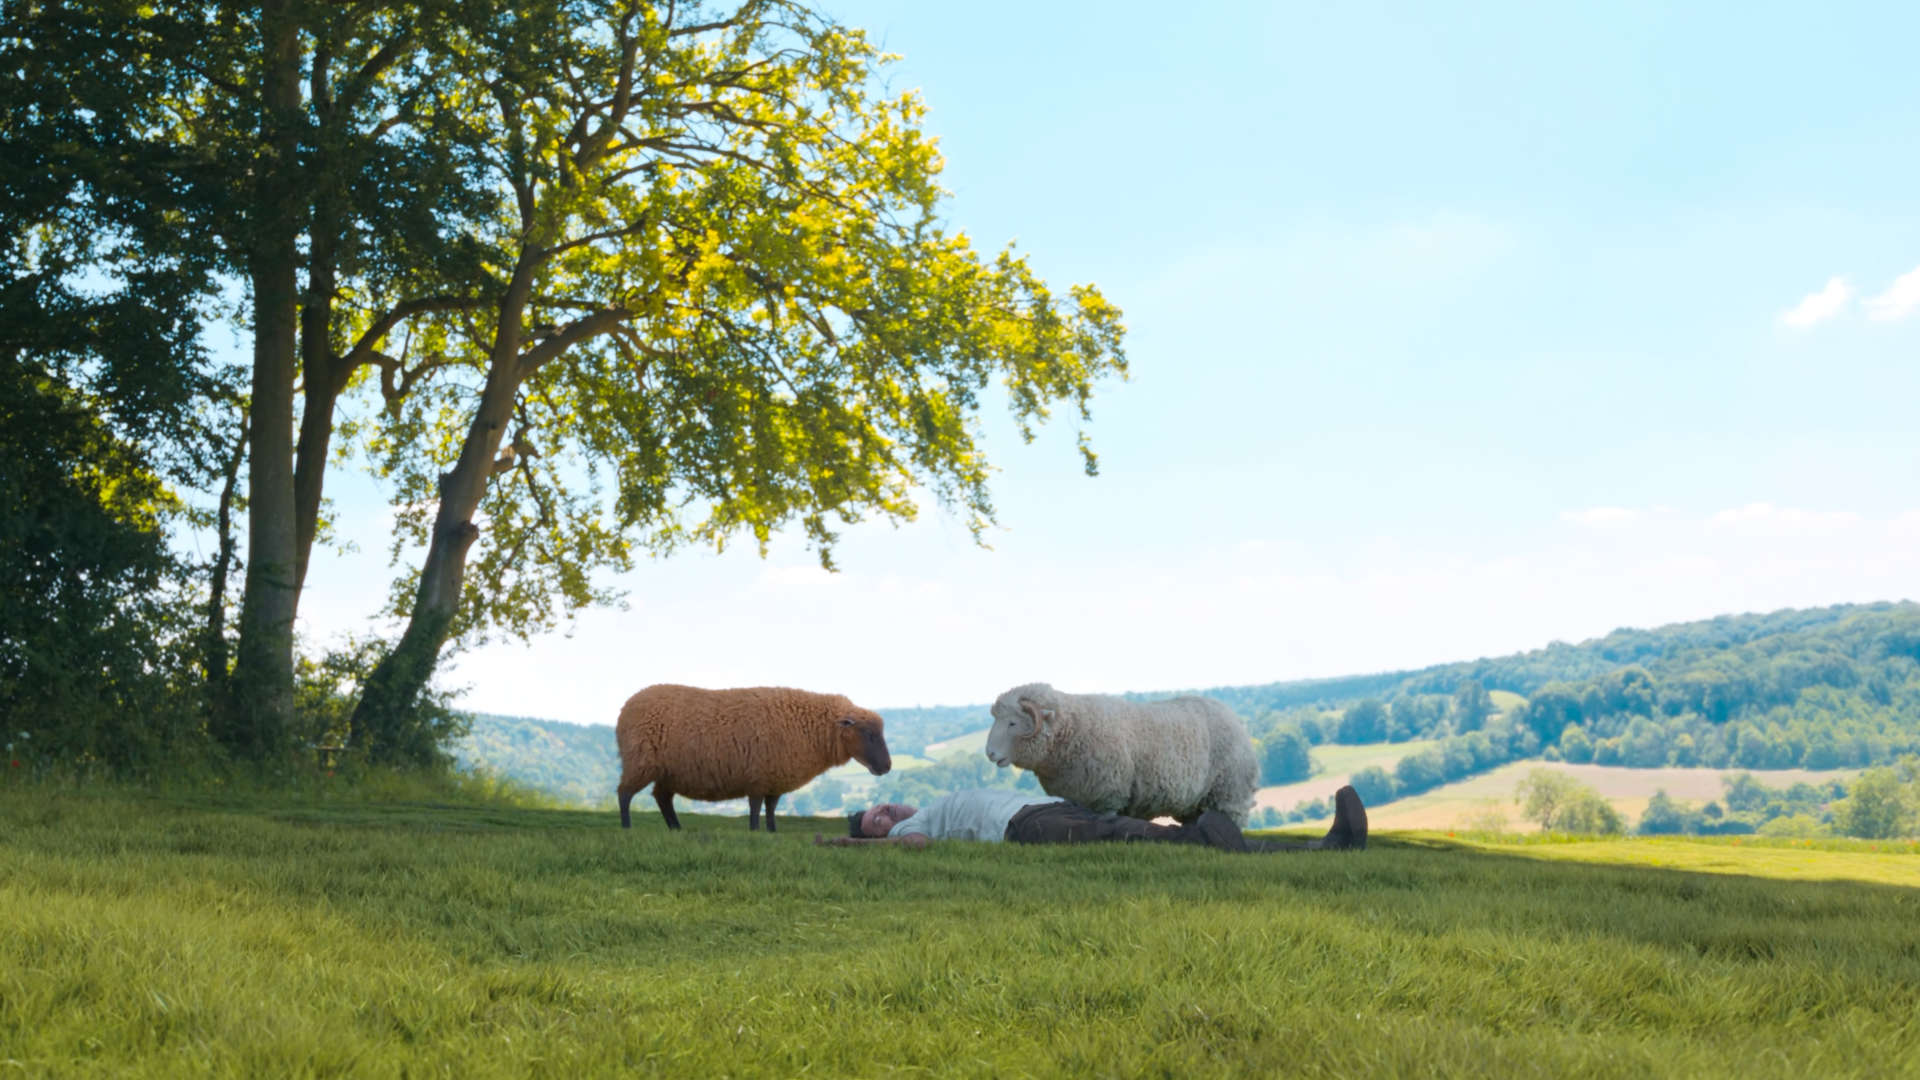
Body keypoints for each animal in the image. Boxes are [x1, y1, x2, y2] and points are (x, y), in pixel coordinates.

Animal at [615, 684, 892, 832]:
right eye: (869, 734)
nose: (887, 767)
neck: (809, 728)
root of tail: (627, 705)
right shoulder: (759, 777)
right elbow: (756, 808)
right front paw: (755, 832)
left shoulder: (775, 779)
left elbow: (770, 809)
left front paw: (772, 832)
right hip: (640, 762)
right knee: (625, 794)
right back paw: (627, 827)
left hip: (668, 772)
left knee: (662, 798)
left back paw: (676, 829)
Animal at [983, 682, 1258, 826]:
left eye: (1012, 723)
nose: (990, 753)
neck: (1074, 729)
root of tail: (1234, 718)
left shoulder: (1108, 797)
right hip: (1195, 804)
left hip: (1230, 792)